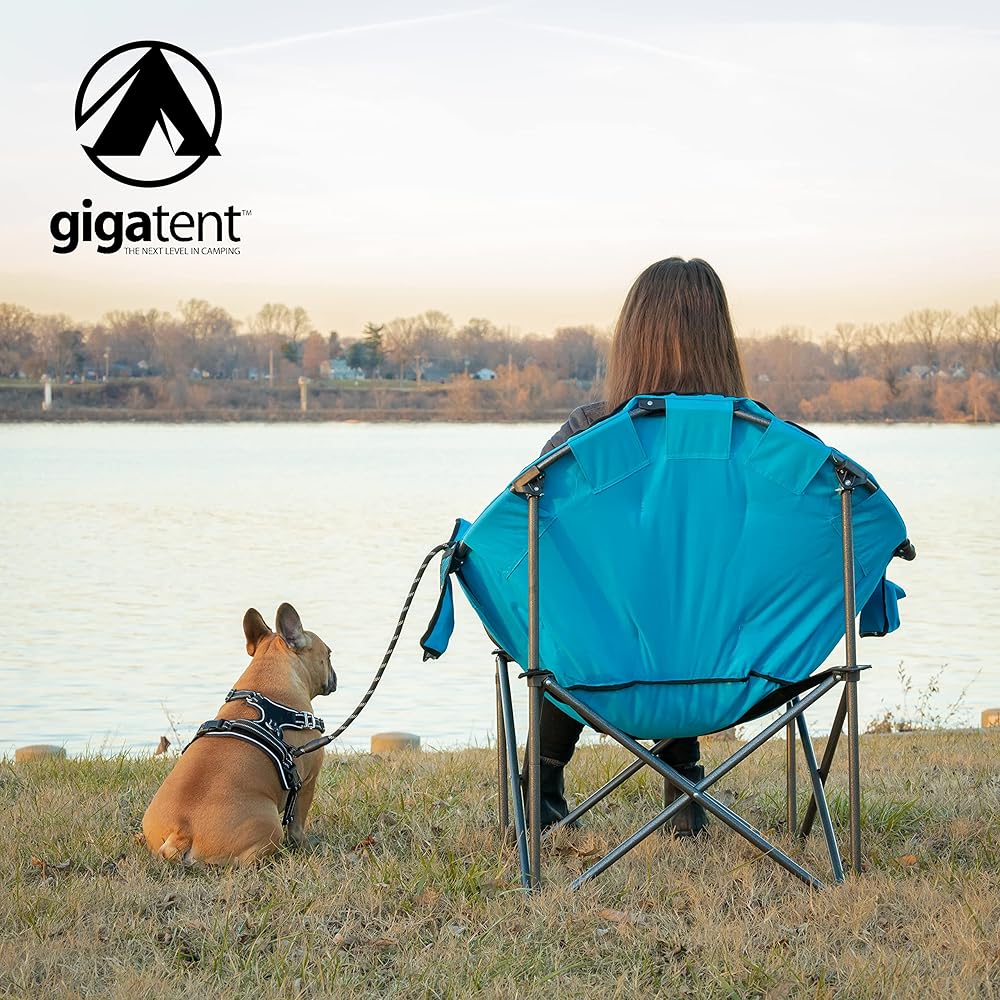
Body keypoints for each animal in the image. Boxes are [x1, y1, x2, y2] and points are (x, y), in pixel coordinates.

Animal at [142, 603, 336, 864]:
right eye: (329, 654)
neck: (268, 673)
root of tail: (182, 833)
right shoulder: (308, 781)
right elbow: (297, 824)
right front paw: (305, 846)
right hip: (269, 826)